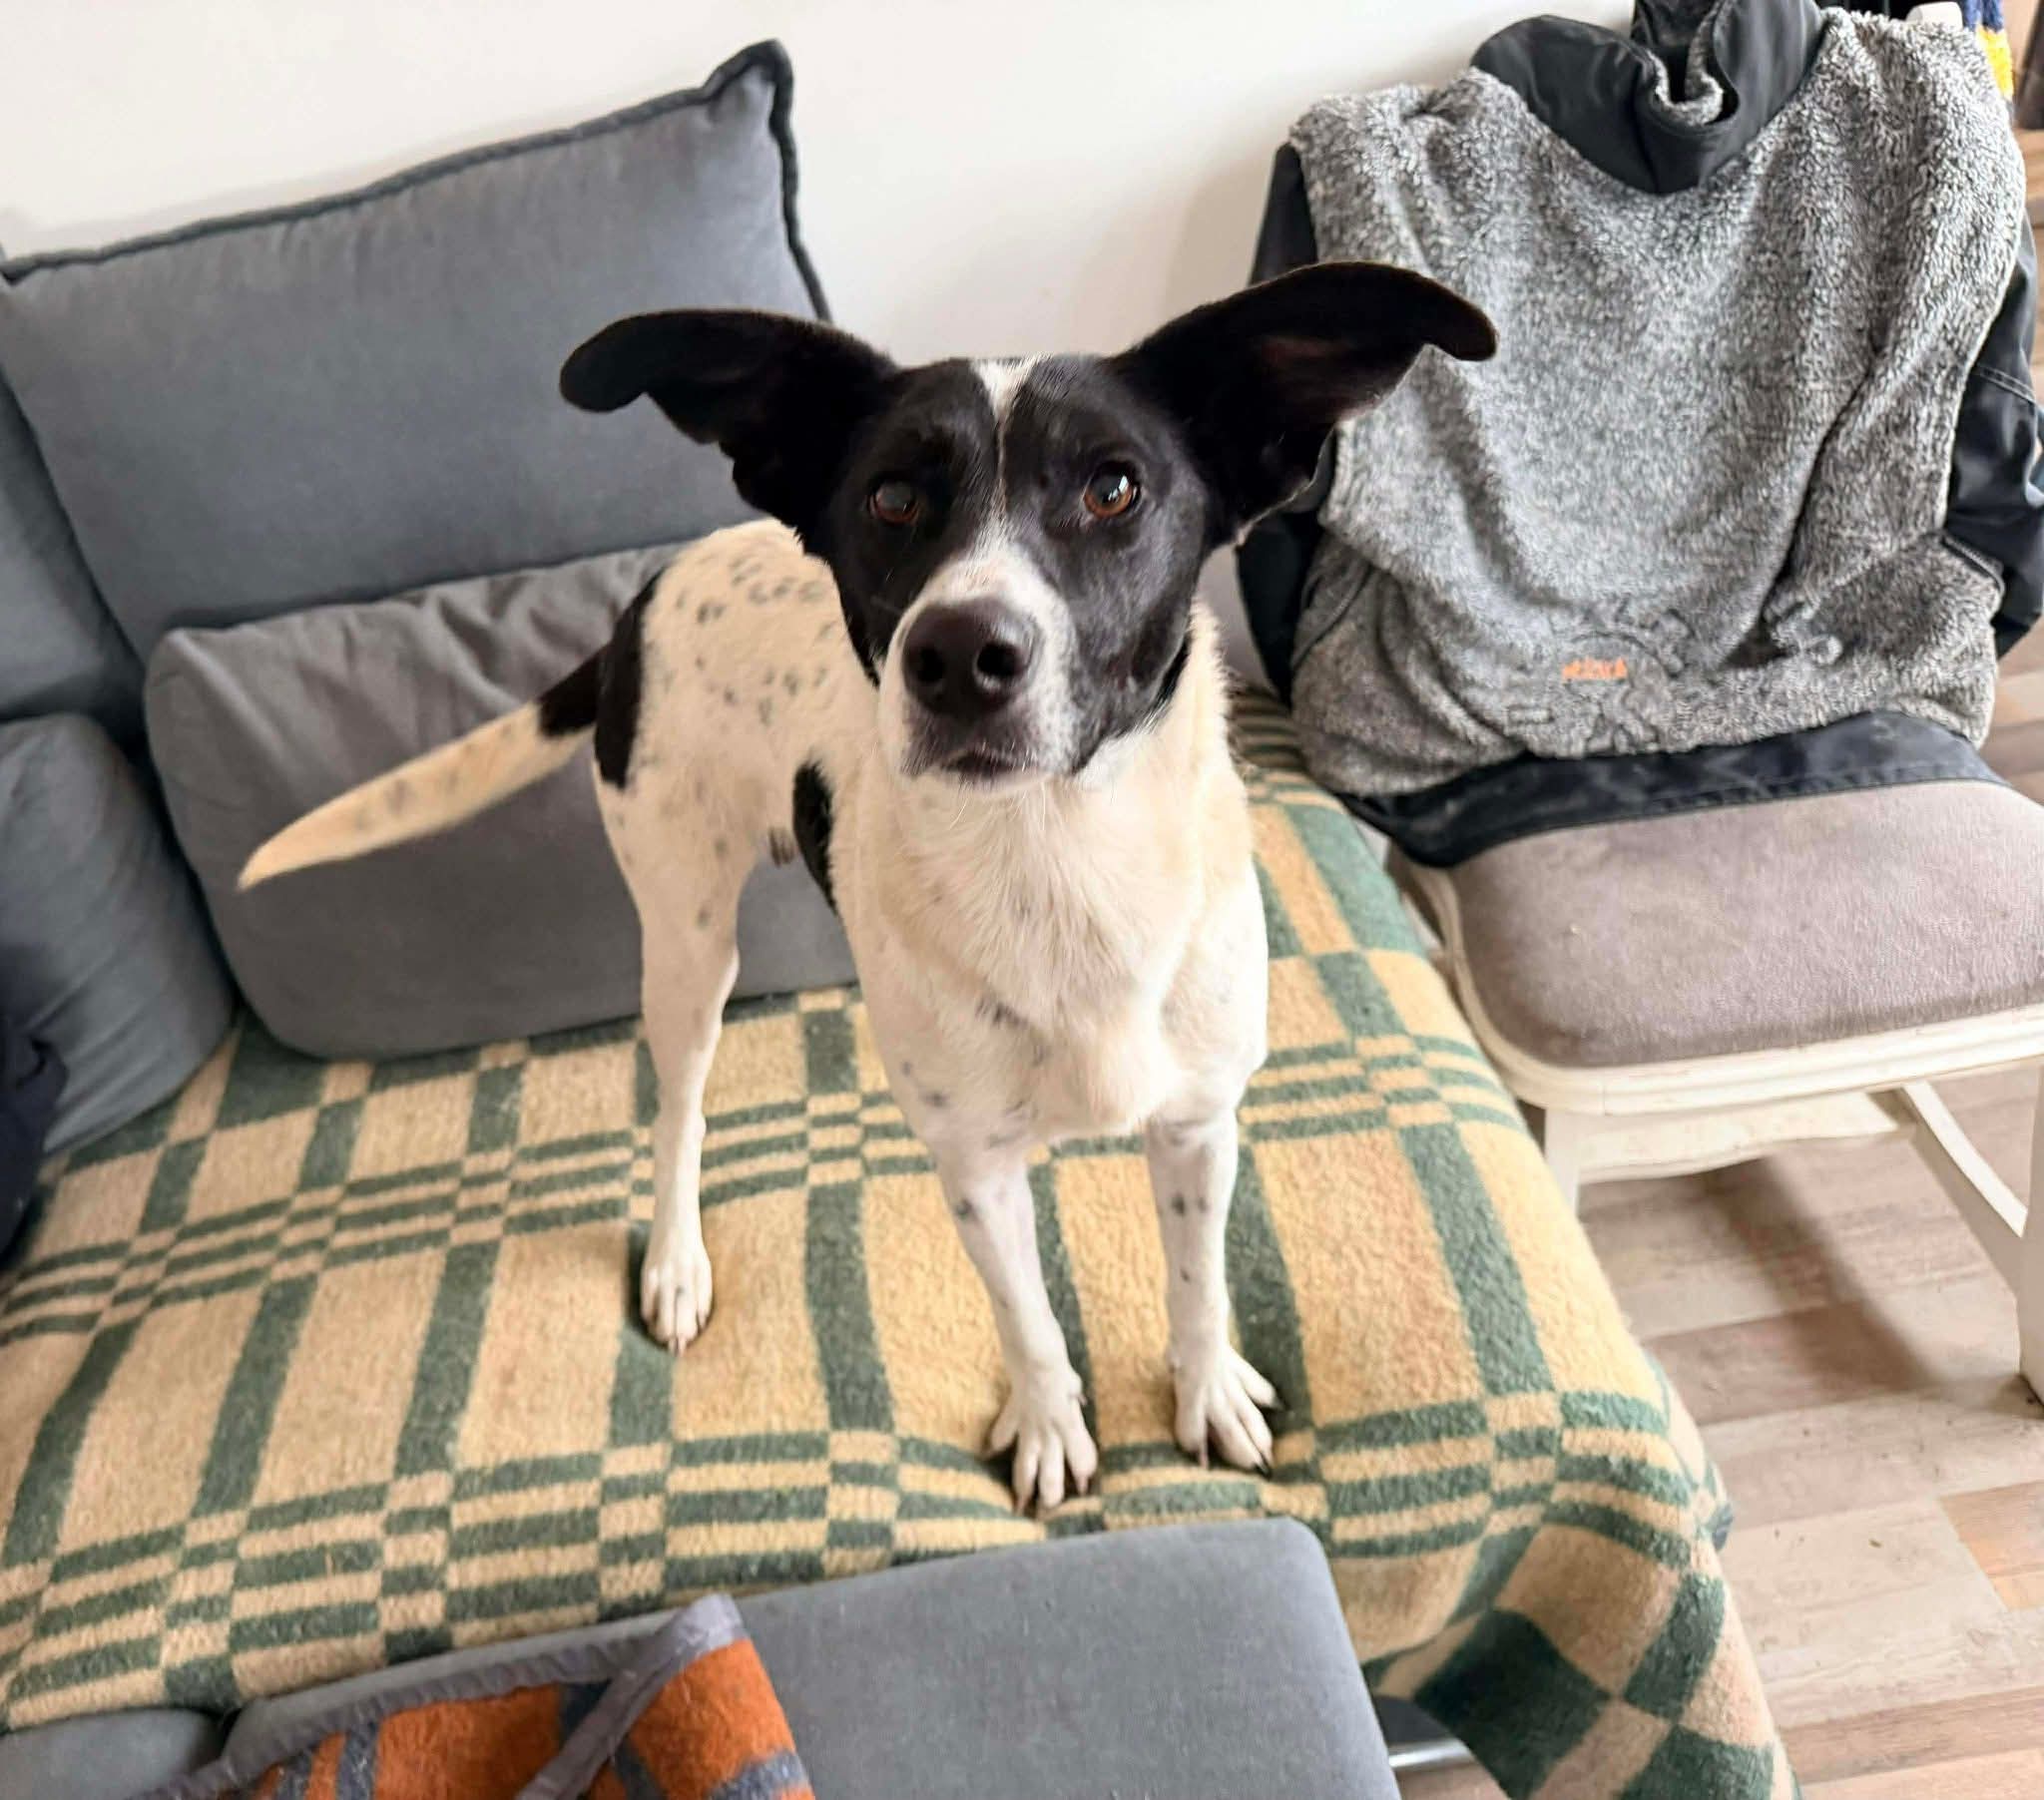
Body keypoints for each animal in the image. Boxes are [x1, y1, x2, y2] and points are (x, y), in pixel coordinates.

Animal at [240, 262, 1494, 1511]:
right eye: (891, 498)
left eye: (1114, 489)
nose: (958, 656)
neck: (1054, 857)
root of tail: (647, 595)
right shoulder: (976, 1167)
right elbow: (1026, 1318)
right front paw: (1049, 1426)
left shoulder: (1196, 1121)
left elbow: (1196, 1281)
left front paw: (1206, 1389)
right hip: (685, 937)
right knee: (680, 1107)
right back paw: (677, 1259)